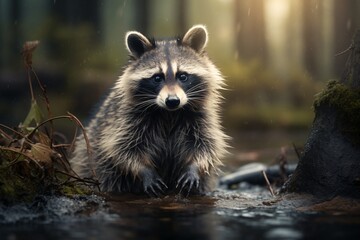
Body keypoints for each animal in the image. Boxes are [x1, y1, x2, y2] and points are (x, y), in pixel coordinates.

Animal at [70, 24, 228, 197]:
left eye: (183, 76)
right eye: (157, 78)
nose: (172, 101)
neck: (169, 113)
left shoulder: (201, 118)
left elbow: (205, 145)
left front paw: (193, 167)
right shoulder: (125, 120)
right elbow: (123, 149)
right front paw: (145, 171)